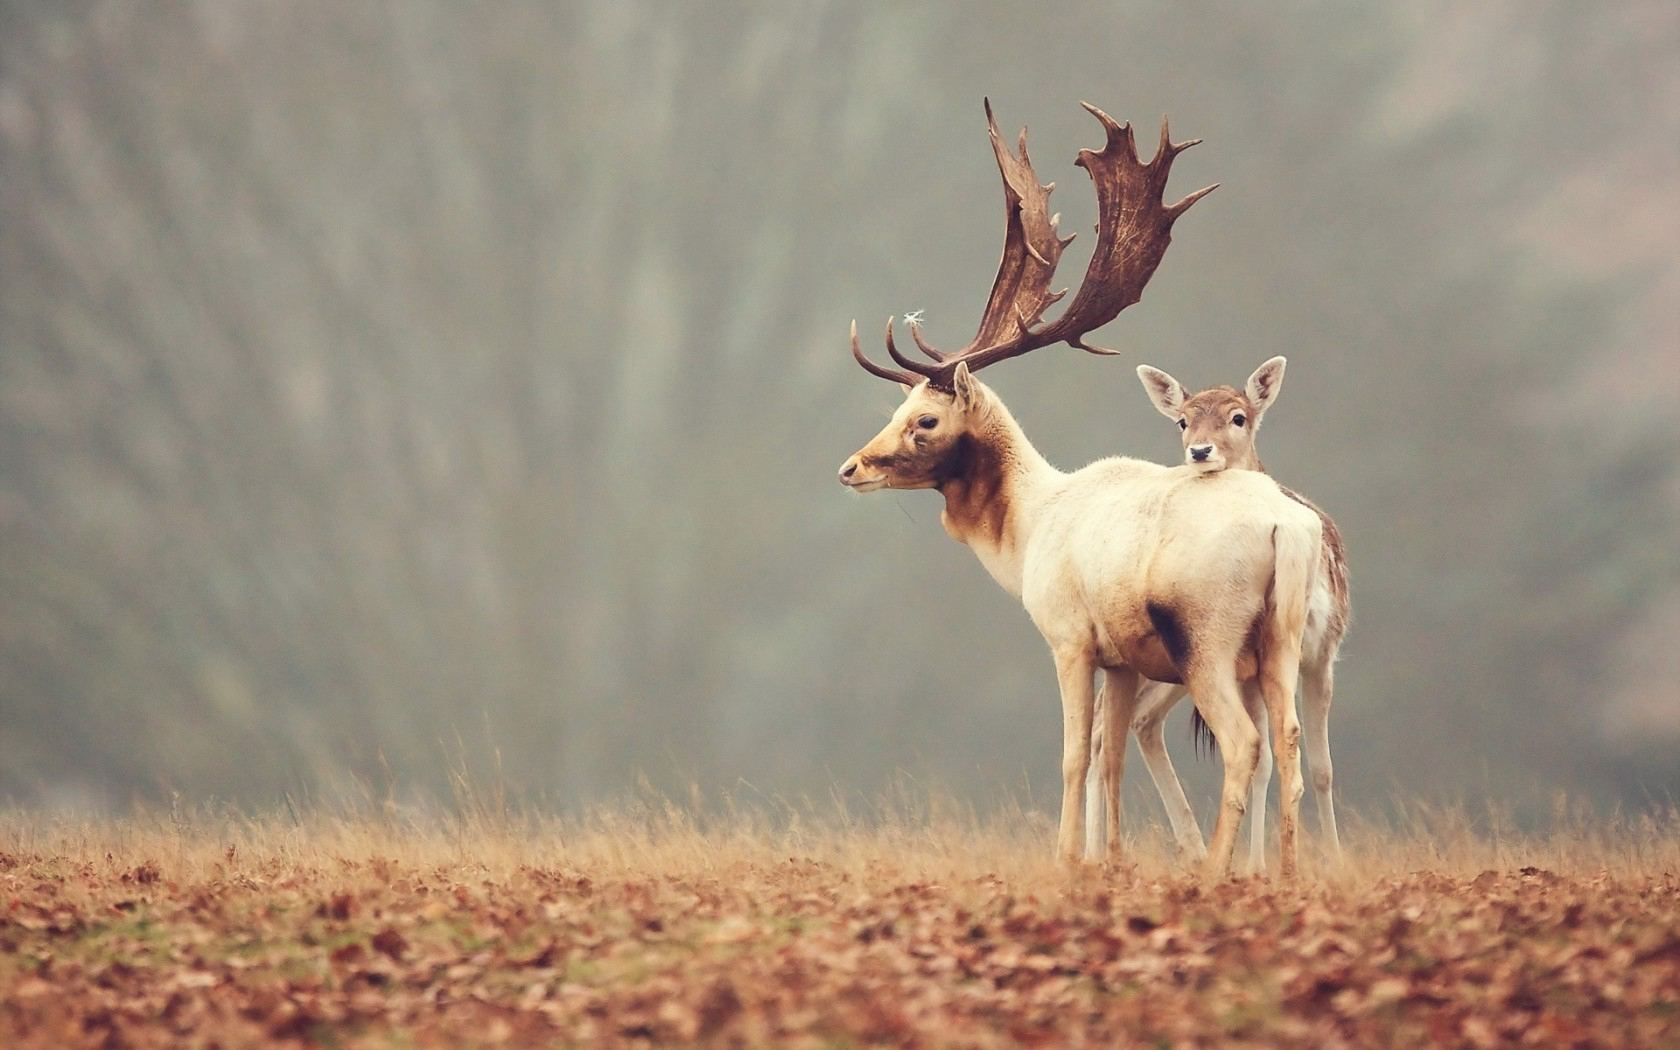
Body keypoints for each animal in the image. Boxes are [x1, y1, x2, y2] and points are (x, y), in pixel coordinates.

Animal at [840, 104, 1323, 873]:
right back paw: (1284, 873)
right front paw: (1111, 860)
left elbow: (1073, 755)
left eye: (925, 419)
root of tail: (1288, 528)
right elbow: (1110, 757)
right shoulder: (1122, 658)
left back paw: (1216, 870)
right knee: (1291, 746)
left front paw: (1067, 859)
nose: (852, 467)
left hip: (1207, 637)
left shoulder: (1068, 636)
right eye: (897, 408)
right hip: (1281, 639)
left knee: (1244, 744)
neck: (1029, 529)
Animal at [1088, 356, 1350, 866]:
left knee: (1130, 722)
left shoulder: (1323, 650)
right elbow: (1271, 759)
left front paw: (1329, 862)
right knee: (1108, 724)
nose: (1200, 451)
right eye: (1182, 420)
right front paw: (1256, 865)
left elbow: (1321, 766)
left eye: (1238, 417)